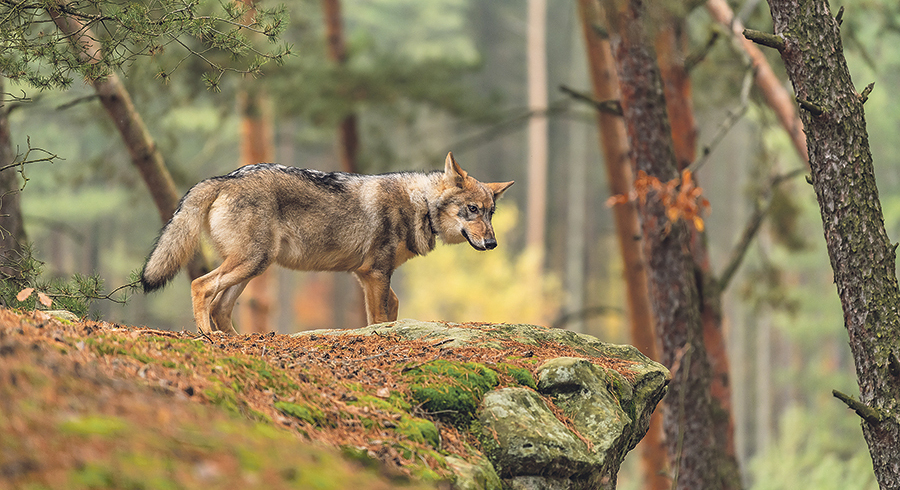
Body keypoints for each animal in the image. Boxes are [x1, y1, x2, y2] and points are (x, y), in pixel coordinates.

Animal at [140, 152, 514, 334]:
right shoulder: (374, 274)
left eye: (491, 212)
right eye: (472, 210)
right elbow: (378, 317)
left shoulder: (374, 276)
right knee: (201, 286)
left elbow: (391, 308)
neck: (419, 203)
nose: (493, 243)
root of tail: (223, 178)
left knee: (220, 306)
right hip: (251, 262)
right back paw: (206, 335)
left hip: (255, 266)